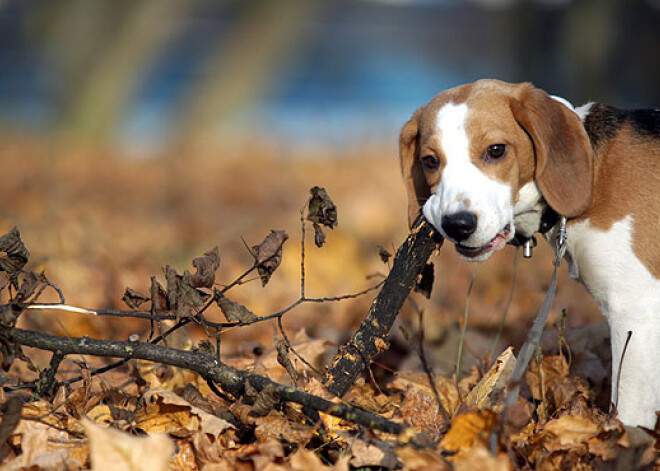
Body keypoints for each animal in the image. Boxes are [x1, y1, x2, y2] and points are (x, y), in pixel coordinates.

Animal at [400, 78, 660, 428]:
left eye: (496, 150)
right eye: (430, 161)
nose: (457, 224)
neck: (594, 168)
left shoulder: (636, 314)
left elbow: (628, 411)